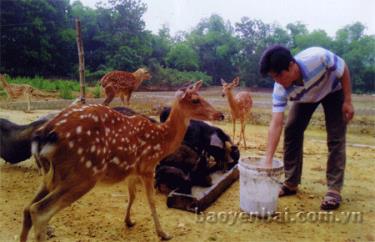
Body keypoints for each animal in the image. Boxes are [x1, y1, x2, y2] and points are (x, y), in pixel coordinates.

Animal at [20, 81, 225, 242]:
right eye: (195, 100)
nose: (221, 115)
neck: (161, 141)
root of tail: (44, 136)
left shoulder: (132, 170)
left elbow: (132, 196)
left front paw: (128, 221)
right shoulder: (148, 166)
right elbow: (151, 201)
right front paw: (163, 233)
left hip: (50, 176)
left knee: (27, 209)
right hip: (83, 173)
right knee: (39, 211)